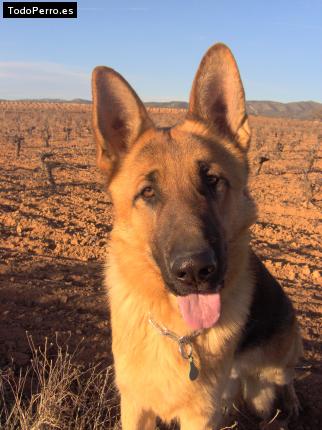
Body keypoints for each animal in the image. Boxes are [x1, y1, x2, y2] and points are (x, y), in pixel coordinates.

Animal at [92, 44, 302, 430]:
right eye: (148, 192)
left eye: (212, 180)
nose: (195, 272)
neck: (178, 334)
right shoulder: (134, 405)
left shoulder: (200, 415)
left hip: (278, 363)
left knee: (288, 375)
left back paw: (292, 402)